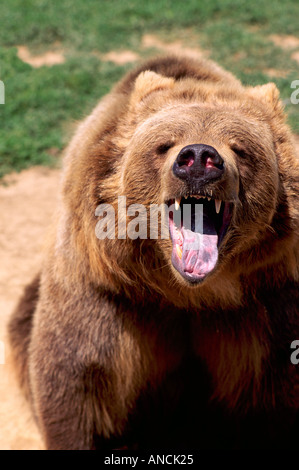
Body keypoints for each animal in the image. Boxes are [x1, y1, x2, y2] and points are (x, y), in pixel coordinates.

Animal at [8, 53, 298, 450]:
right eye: (165, 144)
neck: (186, 293)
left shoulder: (266, 305)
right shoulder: (105, 297)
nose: (199, 159)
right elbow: (75, 385)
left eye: (240, 147)